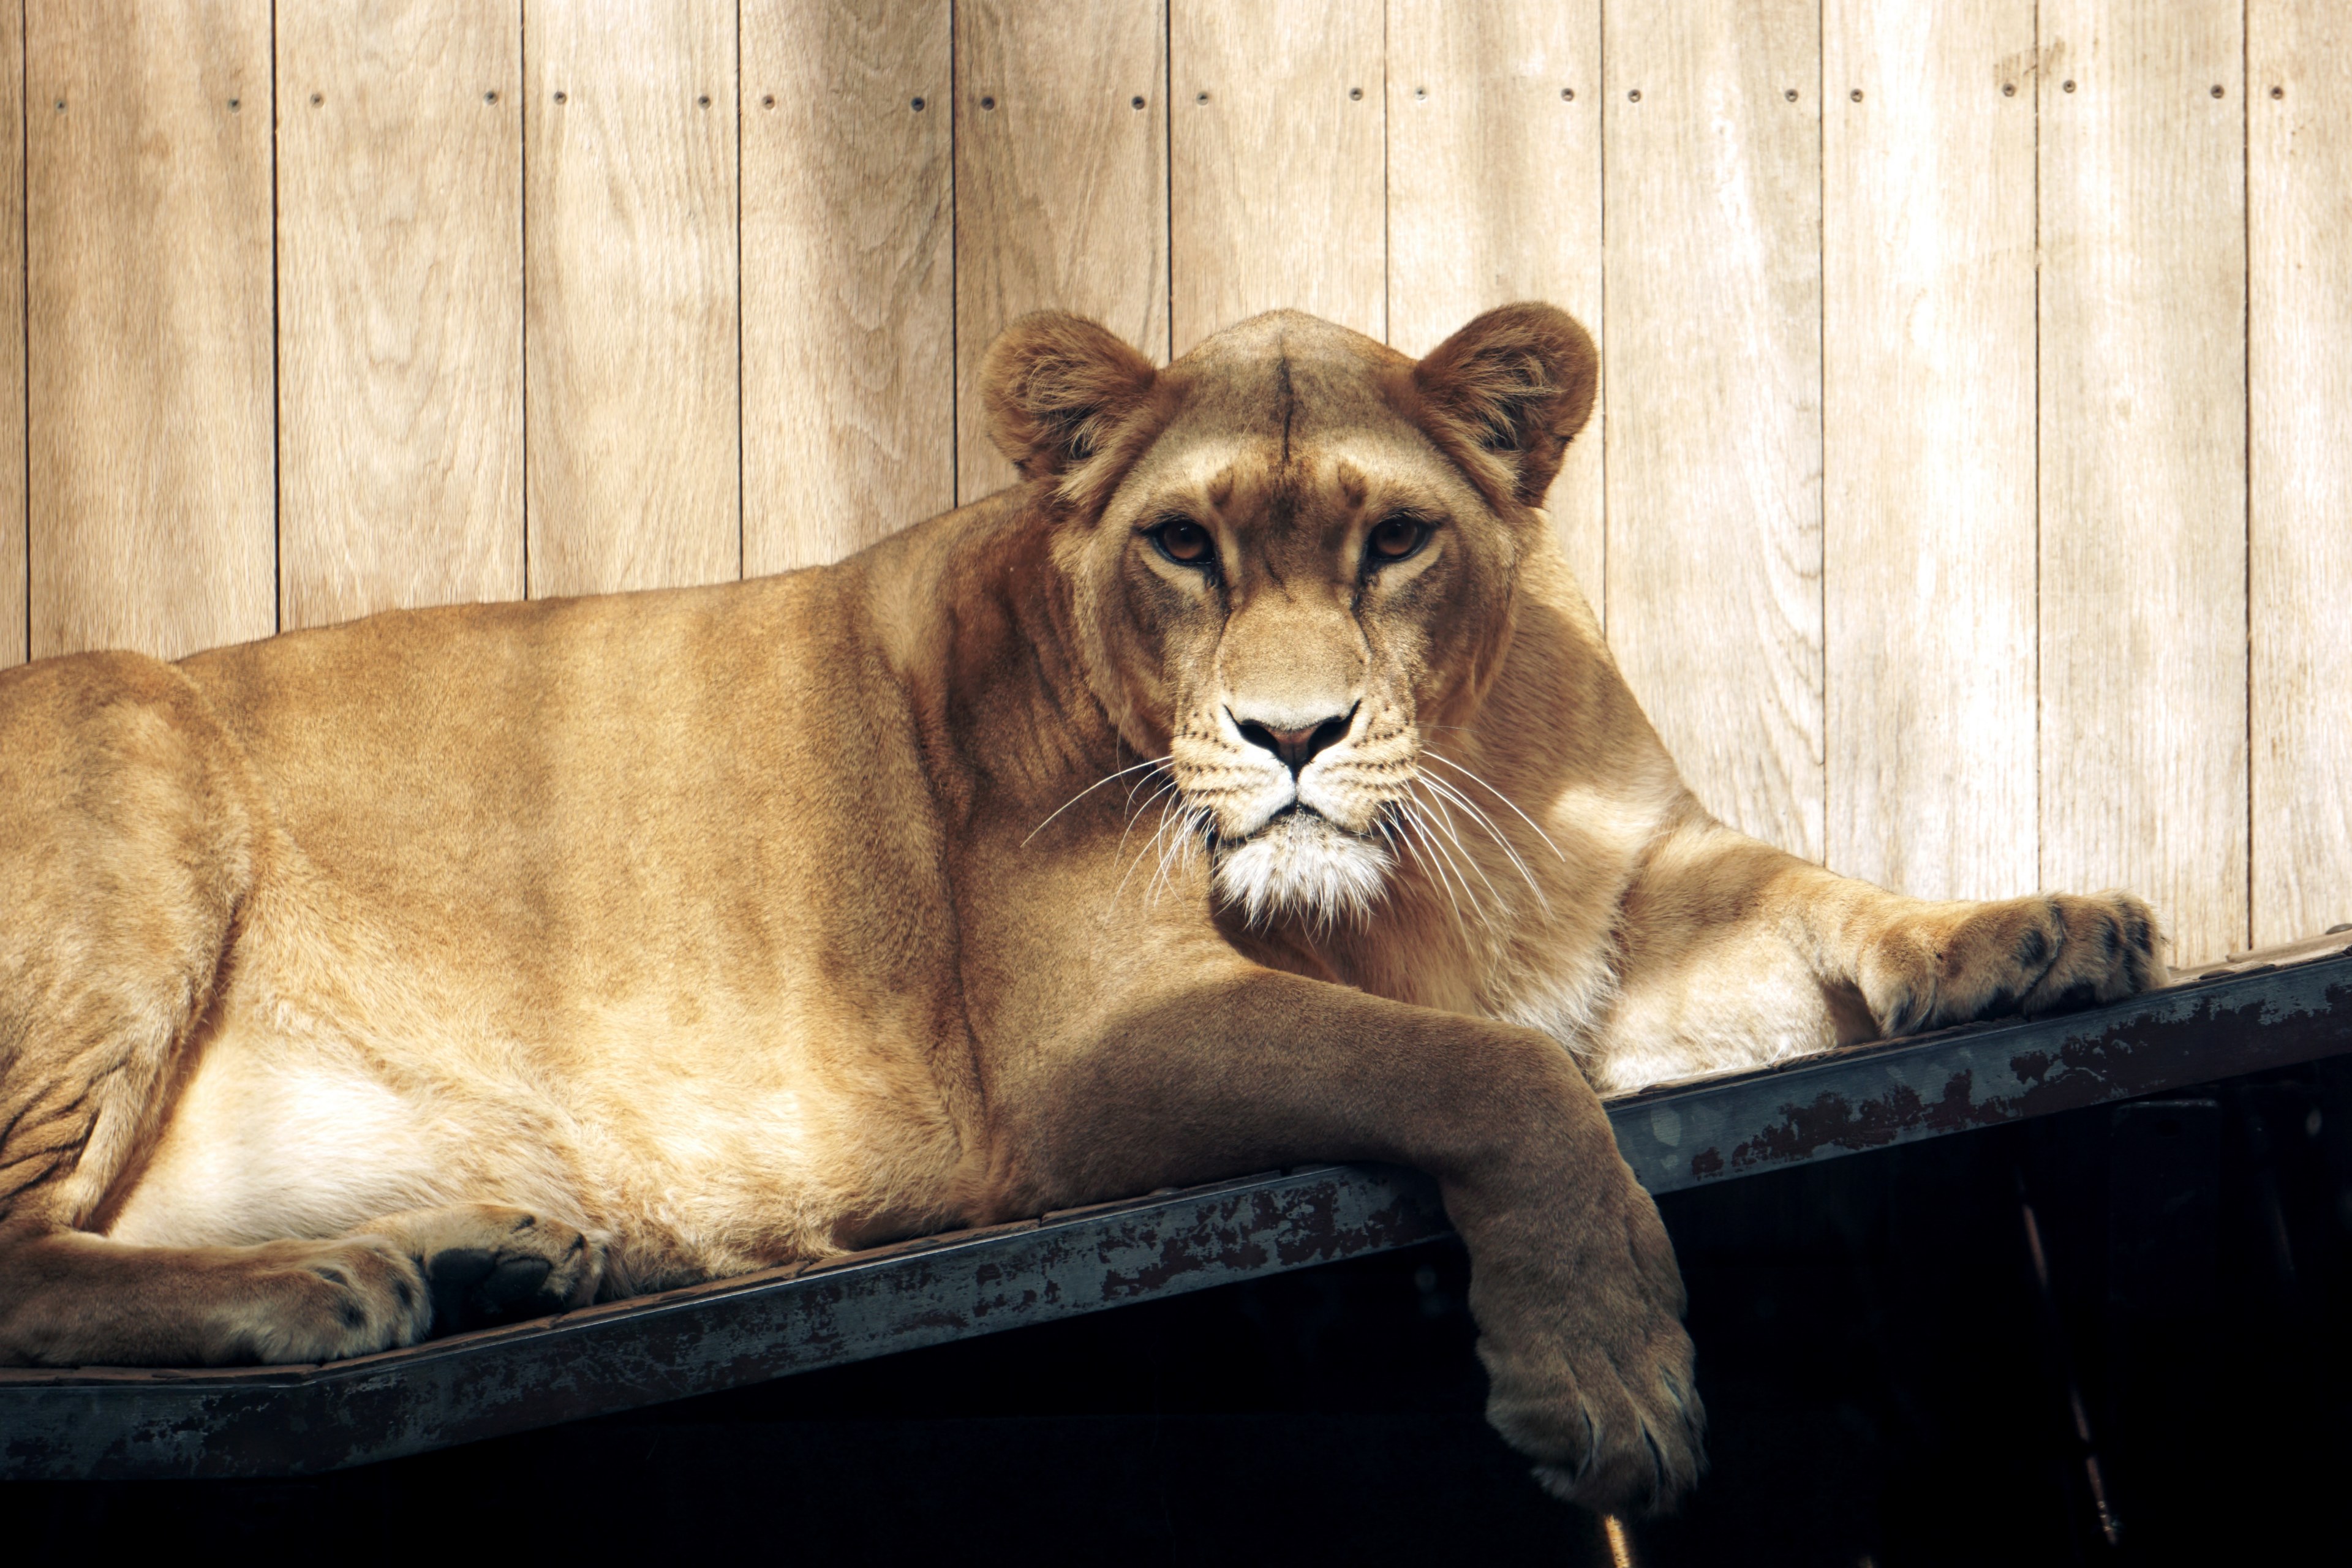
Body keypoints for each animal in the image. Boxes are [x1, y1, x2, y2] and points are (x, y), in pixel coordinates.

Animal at [0, 303, 2161, 1514]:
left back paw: (510, 1255)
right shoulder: (1086, 1055)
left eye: (1394, 539)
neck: (1408, 870)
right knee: (22, 1270)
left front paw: (2039, 931)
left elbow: (1825, 898)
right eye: (1183, 545)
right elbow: (1490, 1079)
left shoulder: (1633, 897)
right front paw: (1609, 1391)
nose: (1290, 733)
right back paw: (332, 1289)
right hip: (121, 716)